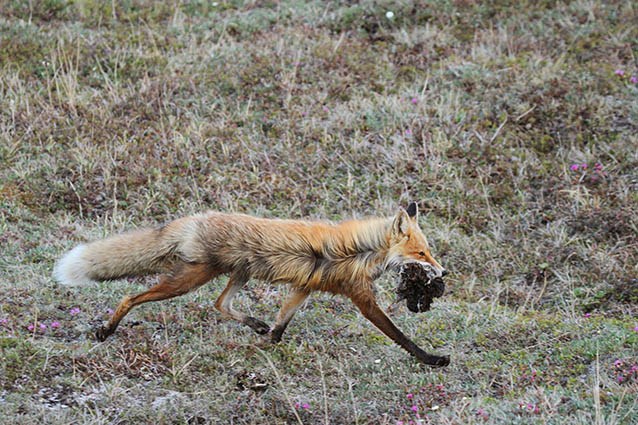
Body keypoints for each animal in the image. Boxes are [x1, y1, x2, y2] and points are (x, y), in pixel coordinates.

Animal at [55, 202, 452, 364]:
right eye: (421, 253)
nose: (444, 273)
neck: (362, 251)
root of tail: (194, 219)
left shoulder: (303, 287)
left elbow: (282, 321)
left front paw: (268, 341)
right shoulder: (361, 297)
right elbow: (399, 335)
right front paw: (432, 360)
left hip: (237, 275)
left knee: (220, 304)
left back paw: (255, 325)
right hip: (189, 280)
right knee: (130, 296)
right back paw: (106, 330)